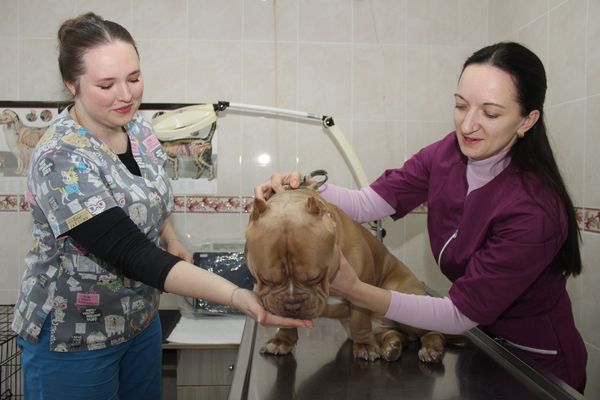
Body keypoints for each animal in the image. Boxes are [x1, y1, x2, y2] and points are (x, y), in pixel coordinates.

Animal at [245, 187, 446, 363]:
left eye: (315, 277)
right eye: (266, 279)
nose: (292, 304)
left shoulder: (360, 291)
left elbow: (360, 320)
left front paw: (365, 345)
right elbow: (286, 323)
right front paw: (282, 340)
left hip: (410, 309)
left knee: (433, 331)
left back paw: (431, 349)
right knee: (395, 334)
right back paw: (392, 346)